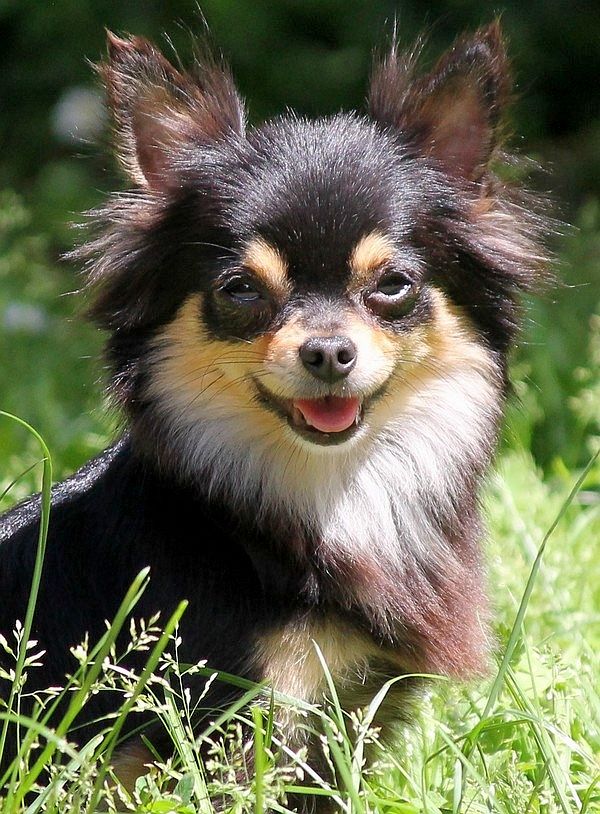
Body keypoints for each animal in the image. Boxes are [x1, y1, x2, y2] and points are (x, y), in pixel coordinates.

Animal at [0, 20, 549, 807]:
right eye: (240, 290)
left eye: (393, 284)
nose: (327, 351)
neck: (324, 493)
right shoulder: (221, 722)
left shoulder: (348, 714)